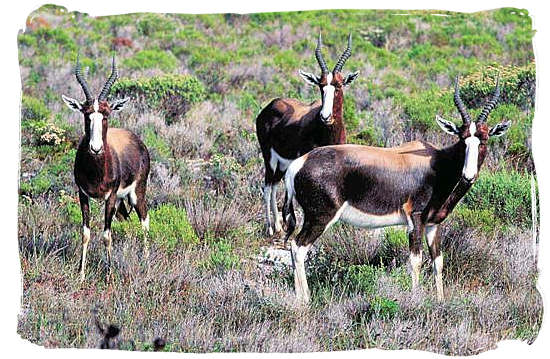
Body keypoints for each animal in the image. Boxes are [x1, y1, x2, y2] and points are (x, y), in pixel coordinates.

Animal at [62, 54, 151, 282]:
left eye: (106, 114)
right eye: (86, 114)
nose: (95, 148)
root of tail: (138, 142)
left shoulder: (110, 197)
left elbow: (106, 235)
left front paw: (109, 275)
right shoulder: (83, 195)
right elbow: (86, 233)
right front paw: (81, 274)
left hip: (136, 194)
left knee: (144, 221)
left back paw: (146, 262)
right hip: (121, 202)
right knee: (128, 221)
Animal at [256, 33, 360, 236]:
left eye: (339, 85)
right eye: (321, 86)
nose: (325, 117)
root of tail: (270, 106)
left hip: (282, 163)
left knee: (274, 184)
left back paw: (278, 226)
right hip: (269, 157)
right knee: (267, 186)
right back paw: (270, 228)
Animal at [284, 76, 512, 304]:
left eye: (483, 140)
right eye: (462, 139)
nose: (468, 175)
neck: (437, 162)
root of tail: (299, 164)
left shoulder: (433, 225)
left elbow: (438, 261)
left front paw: (440, 301)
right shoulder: (415, 219)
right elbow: (416, 260)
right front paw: (416, 299)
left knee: (294, 247)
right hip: (320, 217)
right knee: (298, 247)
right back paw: (305, 300)